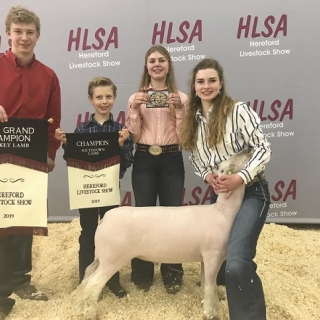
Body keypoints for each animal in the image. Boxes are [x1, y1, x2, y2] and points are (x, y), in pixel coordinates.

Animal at [74, 149, 252, 318]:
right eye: (227, 166)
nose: (248, 150)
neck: (223, 212)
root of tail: (105, 219)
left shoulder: (205, 257)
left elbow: (205, 284)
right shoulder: (212, 255)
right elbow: (209, 286)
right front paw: (211, 313)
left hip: (104, 256)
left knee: (88, 274)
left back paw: (82, 305)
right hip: (113, 258)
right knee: (93, 283)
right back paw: (90, 312)